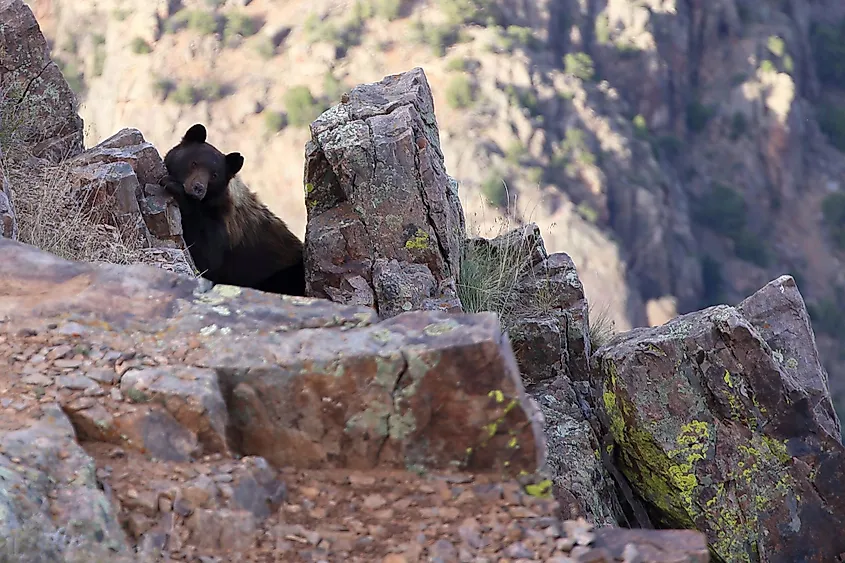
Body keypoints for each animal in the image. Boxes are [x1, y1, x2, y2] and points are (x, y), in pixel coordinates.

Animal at [160, 123, 304, 298]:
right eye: (194, 163)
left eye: (214, 175)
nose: (198, 188)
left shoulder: (225, 225)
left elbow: (208, 258)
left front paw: (173, 186)